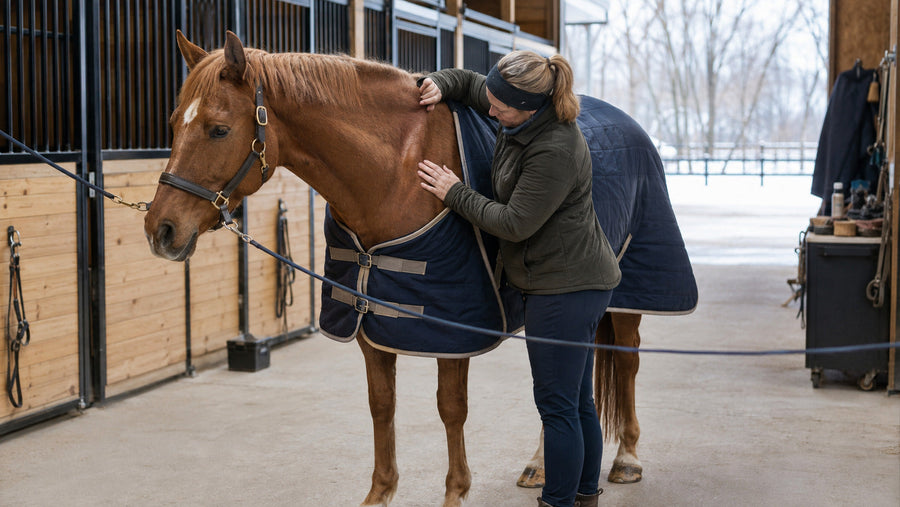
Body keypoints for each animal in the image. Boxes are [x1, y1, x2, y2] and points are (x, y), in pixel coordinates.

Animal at [145, 30, 686, 506]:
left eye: (219, 128)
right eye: (173, 123)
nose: (160, 229)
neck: (396, 169)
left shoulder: (452, 325)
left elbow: (451, 409)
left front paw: (455, 493)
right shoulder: (370, 317)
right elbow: (381, 405)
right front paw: (380, 493)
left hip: (625, 297)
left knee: (626, 361)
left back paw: (627, 458)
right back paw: (540, 465)